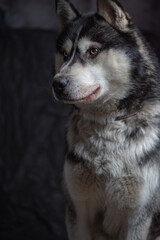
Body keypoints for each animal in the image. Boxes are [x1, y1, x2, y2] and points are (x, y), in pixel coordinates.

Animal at [52, 0, 160, 238]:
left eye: (93, 51)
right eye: (64, 54)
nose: (57, 84)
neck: (107, 127)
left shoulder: (138, 218)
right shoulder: (78, 211)